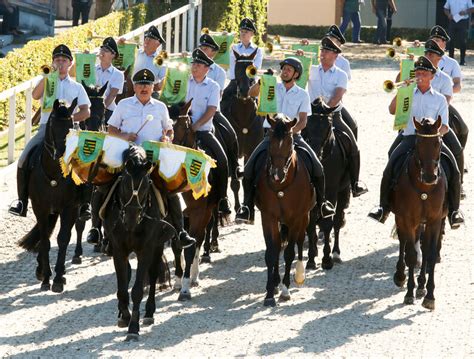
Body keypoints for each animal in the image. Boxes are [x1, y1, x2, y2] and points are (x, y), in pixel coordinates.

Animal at [17, 97, 80, 292]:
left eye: (71, 124)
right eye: (52, 123)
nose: (61, 152)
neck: (53, 174)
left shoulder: (69, 207)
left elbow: (63, 239)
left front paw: (58, 279)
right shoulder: (40, 207)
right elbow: (45, 240)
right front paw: (45, 277)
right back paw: (41, 269)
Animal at [102, 145, 176, 342]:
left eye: (146, 186)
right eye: (125, 184)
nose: (131, 219)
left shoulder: (146, 249)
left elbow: (137, 290)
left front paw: (133, 328)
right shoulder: (119, 249)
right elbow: (122, 286)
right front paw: (124, 316)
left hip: (157, 246)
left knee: (153, 274)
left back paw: (149, 313)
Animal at [256, 114, 314, 306]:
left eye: (290, 142)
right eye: (271, 140)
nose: (277, 174)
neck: (281, 187)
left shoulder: (296, 218)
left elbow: (289, 253)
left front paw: (285, 289)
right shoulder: (268, 217)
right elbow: (272, 252)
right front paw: (269, 293)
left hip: (304, 216)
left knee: (299, 240)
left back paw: (299, 273)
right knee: (279, 245)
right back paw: (275, 282)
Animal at [304, 105, 352, 272]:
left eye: (327, 127)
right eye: (307, 126)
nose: (315, 153)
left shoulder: (331, 191)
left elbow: (327, 223)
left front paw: (326, 259)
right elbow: (311, 223)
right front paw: (311, 258)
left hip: (343, 190)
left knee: (337, 220)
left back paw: (336, 253)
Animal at [392, 116, 448, 310]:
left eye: (438, 142)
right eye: (418, 143)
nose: (430, 177)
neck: (425, 189)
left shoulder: (434, 220)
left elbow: (430, 254)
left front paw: (429, 295)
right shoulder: (408, 219)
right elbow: (410, 254)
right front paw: (409, 293)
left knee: (423, 246)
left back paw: (422, 285)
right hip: (402, 219)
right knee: (404, 241)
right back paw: (400, 276)